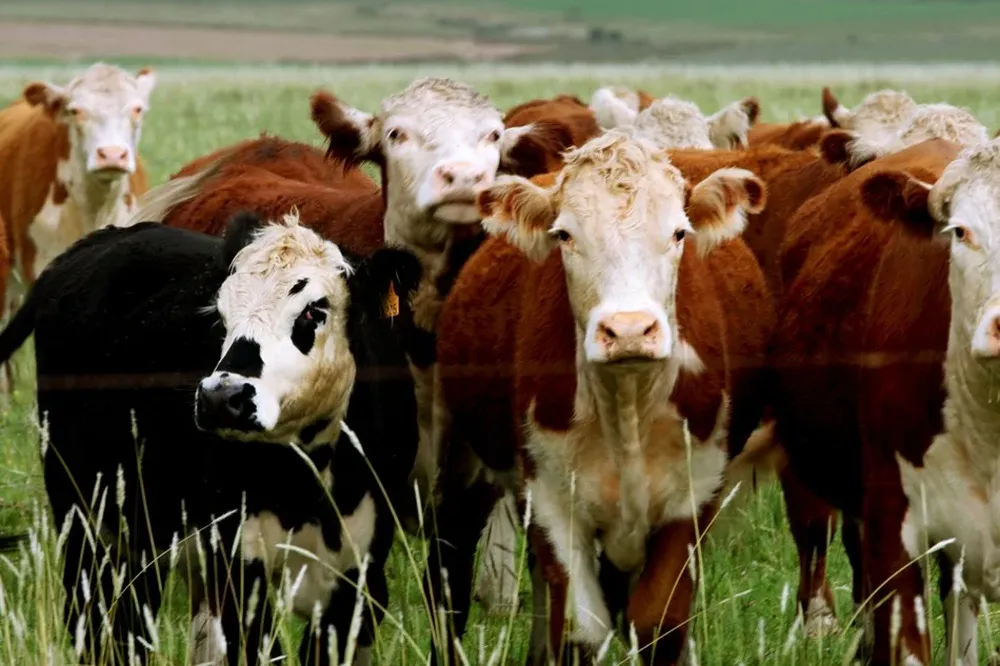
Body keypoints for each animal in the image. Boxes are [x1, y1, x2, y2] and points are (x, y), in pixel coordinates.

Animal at [0, 210, 424, 666]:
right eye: (221, 316)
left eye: (313, 312)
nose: (222, 397)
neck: (307, 489)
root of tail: (95, 243)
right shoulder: (237, 568)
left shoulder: (359, 579)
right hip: (86, 522)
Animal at [429, 130, 774, 664]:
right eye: (565, 236)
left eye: (679, 233)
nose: (629, 329)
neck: (627, 404)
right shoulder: (550, 498)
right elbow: (578, 630)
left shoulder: (693, 494)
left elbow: (658, 621)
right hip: (463, 462)